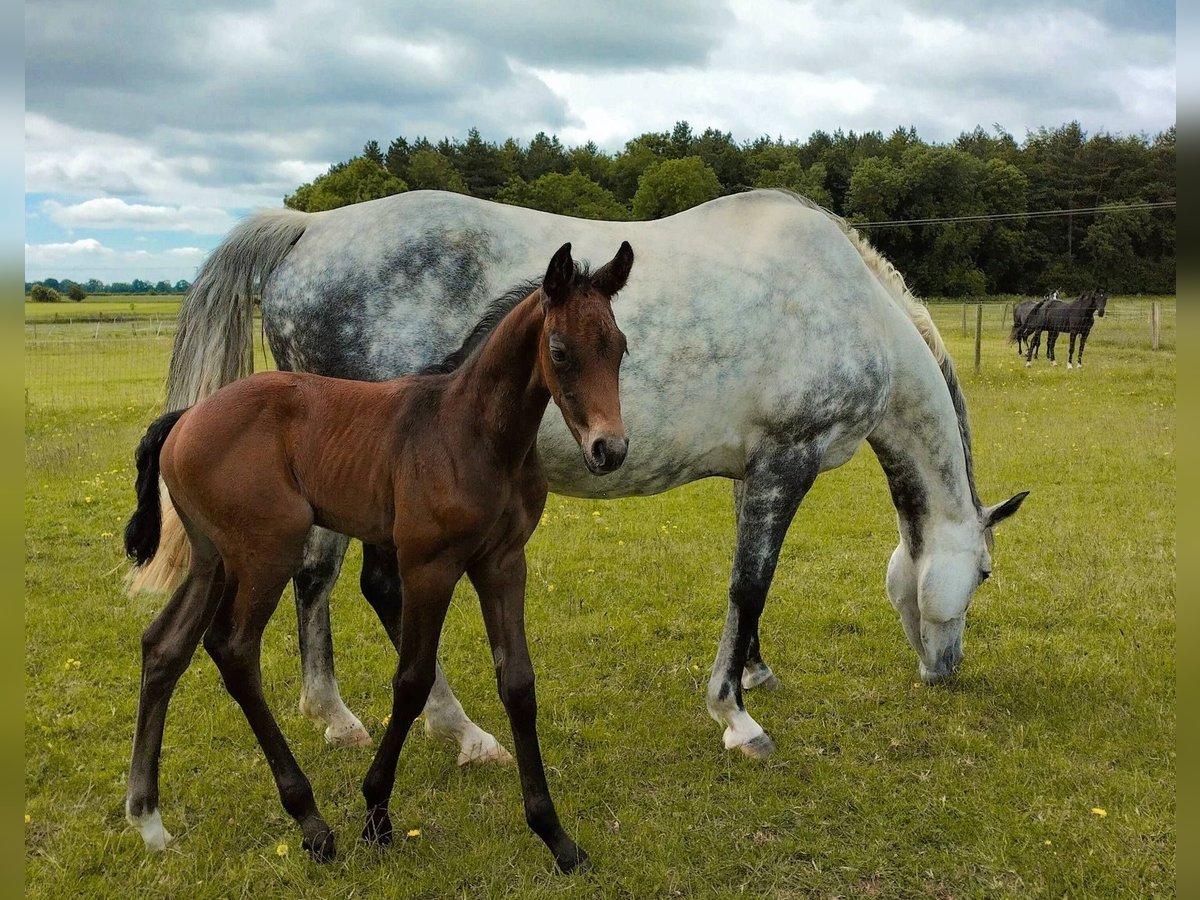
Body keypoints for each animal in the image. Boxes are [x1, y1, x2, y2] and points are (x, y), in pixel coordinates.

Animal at [122, 242, 633, 872]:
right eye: (559, 351)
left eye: (620, 347)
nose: (609, 449)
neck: (476, 433)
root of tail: (186, 417)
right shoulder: (428, 566)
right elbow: (411, 681)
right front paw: (376, 815)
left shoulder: (503, 563)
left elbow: (518, 682)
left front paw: (555, 836)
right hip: (268, 551)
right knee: (233, 649)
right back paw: (312, 822)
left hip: (213, 557)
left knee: (164, 645)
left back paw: (149, 821)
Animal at [132, 189, 1028, 762]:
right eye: (984, 573)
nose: (945, 672)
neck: (849, 305)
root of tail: (310, 230)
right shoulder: (788, 463)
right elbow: (751, 584)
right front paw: (734, 716)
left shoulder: (754, 474)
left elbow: (749, 588)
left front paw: (753, 673)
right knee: (372, 587)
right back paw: (462, 733)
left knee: (315, 579)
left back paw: (337, 717)